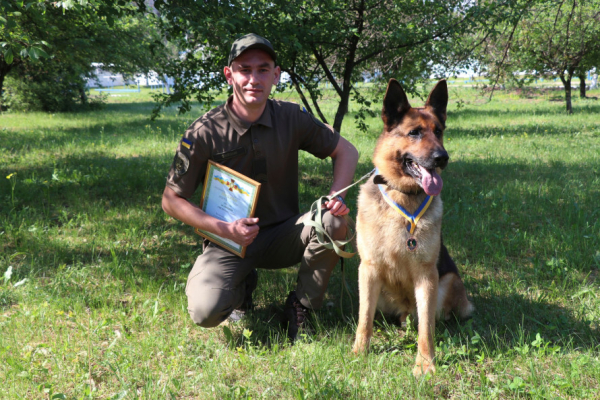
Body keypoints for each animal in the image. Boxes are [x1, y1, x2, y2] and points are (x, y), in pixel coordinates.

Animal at [352, 79, 474, 376]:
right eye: (414, 133)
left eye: (439, 131)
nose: (442, 157)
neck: (403, 194)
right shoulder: (368, 270)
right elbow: (364, 319)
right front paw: (359, 352)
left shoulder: (426, 276)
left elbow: (426, 330)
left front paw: (425, 364)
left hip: (448, 281)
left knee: (429, 319)